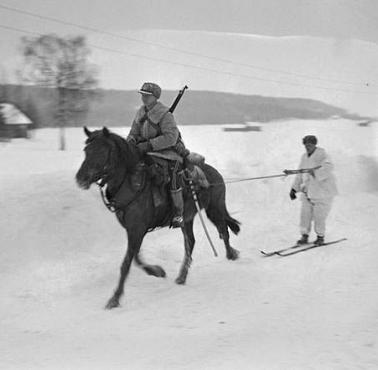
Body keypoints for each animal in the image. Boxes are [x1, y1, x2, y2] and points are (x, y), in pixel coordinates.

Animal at [75, 127, 239, 310]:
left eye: (102, 151)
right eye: (86, 151)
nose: (80, 178)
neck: (130, 182)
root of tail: (216, 174)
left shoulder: (137, 229)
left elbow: (127, 263)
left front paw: (115, 298)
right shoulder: (134, 230)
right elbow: (136, 258)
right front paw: (156, 271)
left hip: (214, 209)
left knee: (223, 229)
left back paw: (231, 253)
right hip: (187, 219)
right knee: (191, 241)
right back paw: (182, 276)